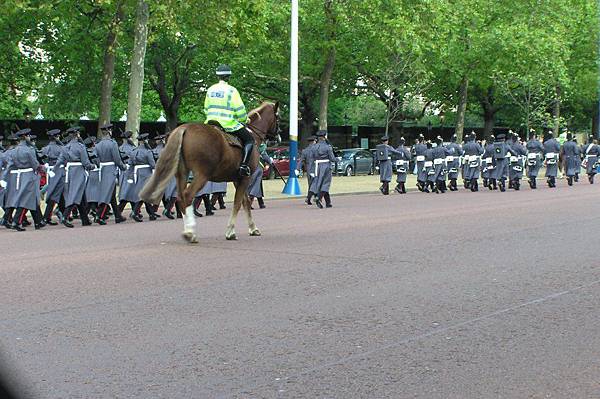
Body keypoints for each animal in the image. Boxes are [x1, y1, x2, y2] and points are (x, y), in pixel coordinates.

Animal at [139, 101, 280, 242]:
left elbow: (245, 202)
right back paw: (191, 232)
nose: (278, 137)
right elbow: (238, 203)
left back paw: (187, 229)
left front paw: (253, 228)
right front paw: (230, 231)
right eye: (277, 116)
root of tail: (184, 129)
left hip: (182, 173)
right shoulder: (245, 178)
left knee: (180, 198)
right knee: (188, 195)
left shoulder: (237, 179)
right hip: (202, 175)